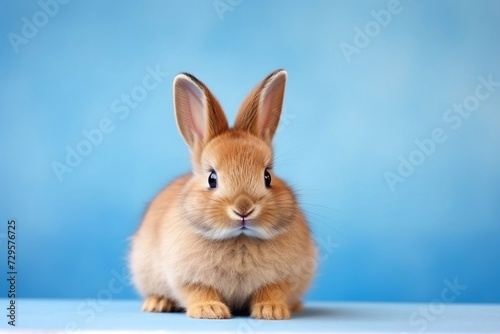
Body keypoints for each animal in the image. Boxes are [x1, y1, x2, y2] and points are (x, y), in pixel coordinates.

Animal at [129, 69, 316, 320]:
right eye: (212, 178)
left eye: (267, 176)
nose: (244, 208)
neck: (239, 238)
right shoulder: (187, 278)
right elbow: (198, 291)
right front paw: (210, 310)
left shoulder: (282, 278)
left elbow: (271, 291)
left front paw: (272, 311)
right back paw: (157, 303)